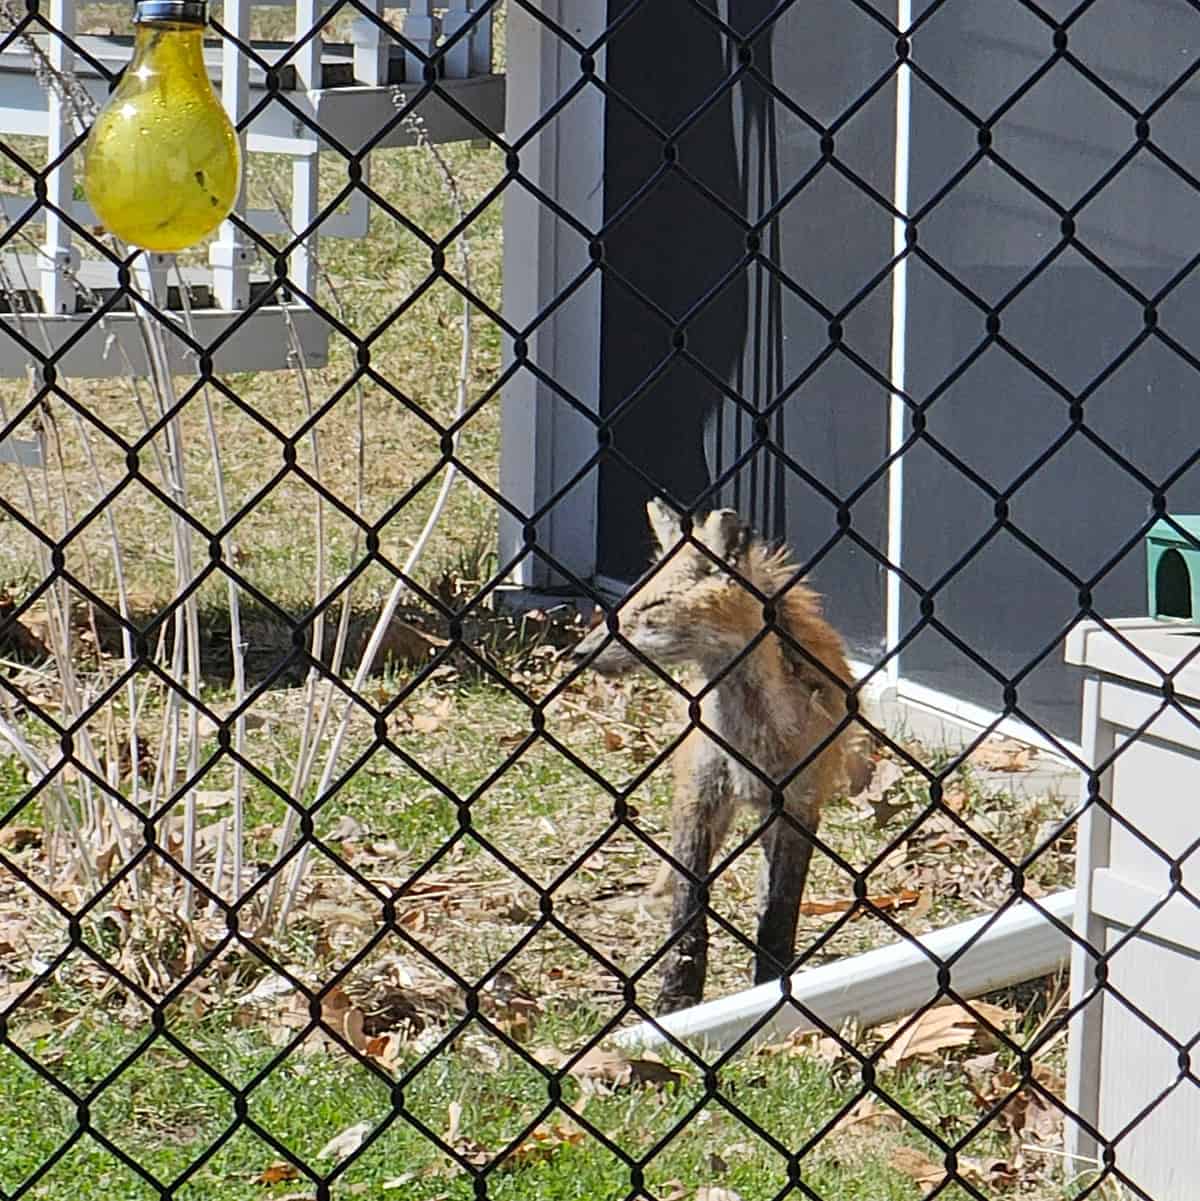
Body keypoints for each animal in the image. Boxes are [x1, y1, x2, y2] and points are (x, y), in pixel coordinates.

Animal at [573, 498, 871, 1013]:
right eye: (626, 603)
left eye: (654, 607)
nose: (579, 652)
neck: (753, 739)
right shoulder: (700, 796)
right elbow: (689, 911)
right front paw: (677, 996)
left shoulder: (798, 806)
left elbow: (778, 914)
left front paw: (771, 985)